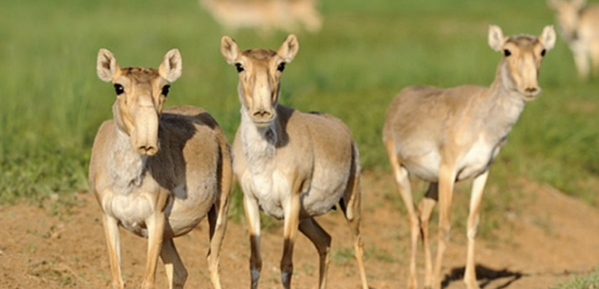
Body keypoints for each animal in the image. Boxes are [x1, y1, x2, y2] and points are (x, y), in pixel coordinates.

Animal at [90, 48, 233, 286]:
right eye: (118, 87)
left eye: (165, 87)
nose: (147, 141)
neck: (127, 183)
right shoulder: (109, 218)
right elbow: (117, 280)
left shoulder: (155, 219)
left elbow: (148, 281)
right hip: (168, 235)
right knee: (180, 271)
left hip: (220, 210)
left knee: (213, 264)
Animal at [221, 35, 370, 288]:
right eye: (239, 65)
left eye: (281, 65)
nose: (262, 112)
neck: (264, 161)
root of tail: (343, 129)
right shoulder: (251, 201)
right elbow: (255, 263)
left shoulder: (290, 201)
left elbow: (286, 265)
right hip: (305, 217)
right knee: (325, 240)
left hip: (350, 202)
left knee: (357, 244)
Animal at [384, 25, 556, 288]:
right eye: (507, 50)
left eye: (542, 50)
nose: (530, 89)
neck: (484, 119)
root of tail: (397, 102)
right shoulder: (449, 170)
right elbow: (445, 228)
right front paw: (438, 283)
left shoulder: (482, 172)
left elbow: (472, 225)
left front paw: (471, 282)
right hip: (400, 171)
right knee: (413, 218)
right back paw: (414, 282)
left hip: (432, 182)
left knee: (423, 214)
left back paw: (426, 278)